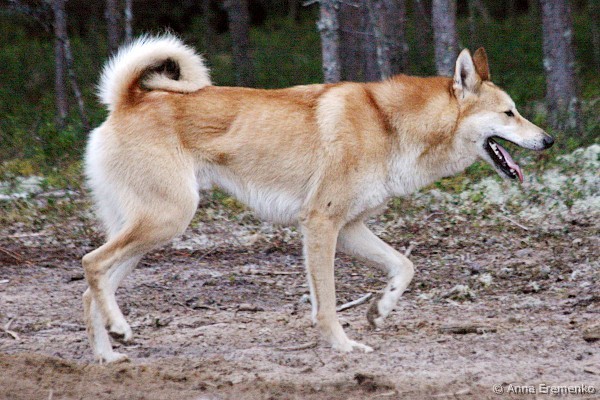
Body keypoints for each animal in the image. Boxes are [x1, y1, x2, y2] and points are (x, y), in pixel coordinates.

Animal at [82, 35, 554, 363]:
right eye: (510, 113)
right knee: (91, 264)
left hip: (148, 234)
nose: (549, 140)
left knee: (92, 287)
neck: (388, 125)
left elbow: (404, 266)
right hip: (166, 221)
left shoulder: (349, 229)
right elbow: (326, 303)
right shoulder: (321, 225)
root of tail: (127, 99)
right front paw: (343, 346)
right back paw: (119, 330)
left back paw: (108, 355)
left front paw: (380, 310)